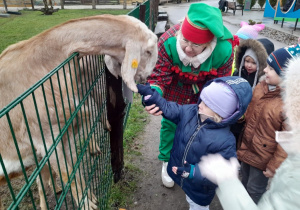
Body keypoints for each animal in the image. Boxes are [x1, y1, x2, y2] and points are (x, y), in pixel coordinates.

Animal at [0, 13, 159, 209]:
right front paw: (86, 204)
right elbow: (67, 173)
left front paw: (90, 197)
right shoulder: (46, 138)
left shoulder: (66, 133)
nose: (146, 78)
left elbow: (76, 169)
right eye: (149, 51)